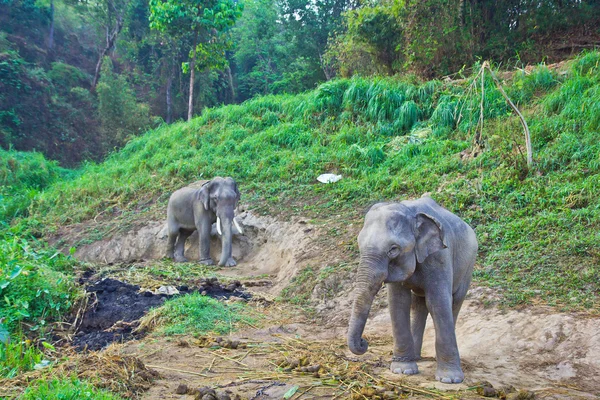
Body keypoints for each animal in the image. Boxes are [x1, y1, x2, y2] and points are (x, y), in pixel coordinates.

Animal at [346, 197, 478, 384]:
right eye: (359, 245)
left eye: (393, 249)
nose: (364, 342)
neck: (409, 211)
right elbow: (398, 302)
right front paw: (403, 370)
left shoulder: (439, 256)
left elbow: (437, 302)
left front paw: (449, 379)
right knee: (419, 305)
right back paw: (415, 357)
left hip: (469, 264)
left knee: (455, 301)